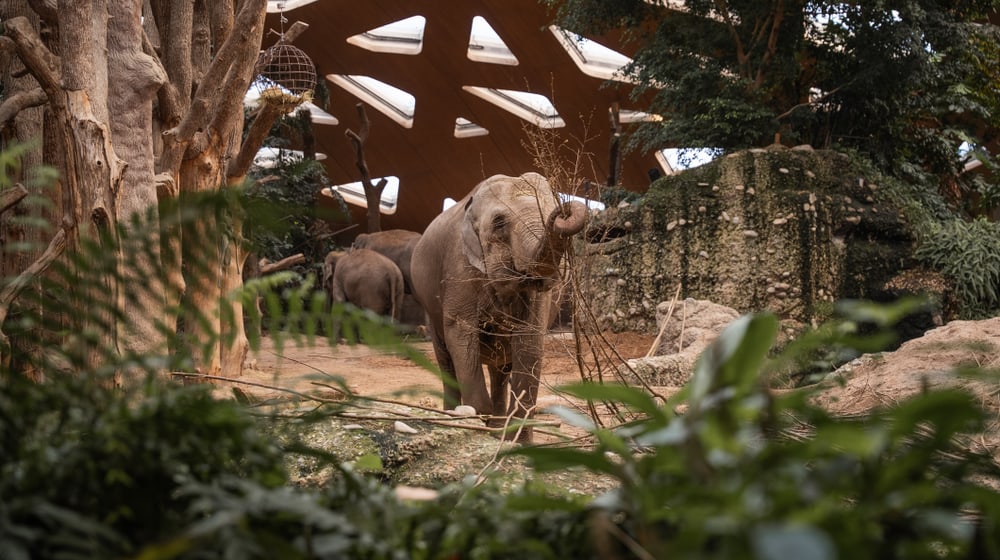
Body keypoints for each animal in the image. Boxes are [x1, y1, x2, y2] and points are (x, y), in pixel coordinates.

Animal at [410, 172, 588, 442]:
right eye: (499, 223)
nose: (564, 211)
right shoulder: (457, 267)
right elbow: (461, 335)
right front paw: (476, 424)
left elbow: (529, 341)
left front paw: (518, 442)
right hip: (430, 309)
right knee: (446, 359)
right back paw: (454, 418)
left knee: (501, 369)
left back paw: (497, 428)